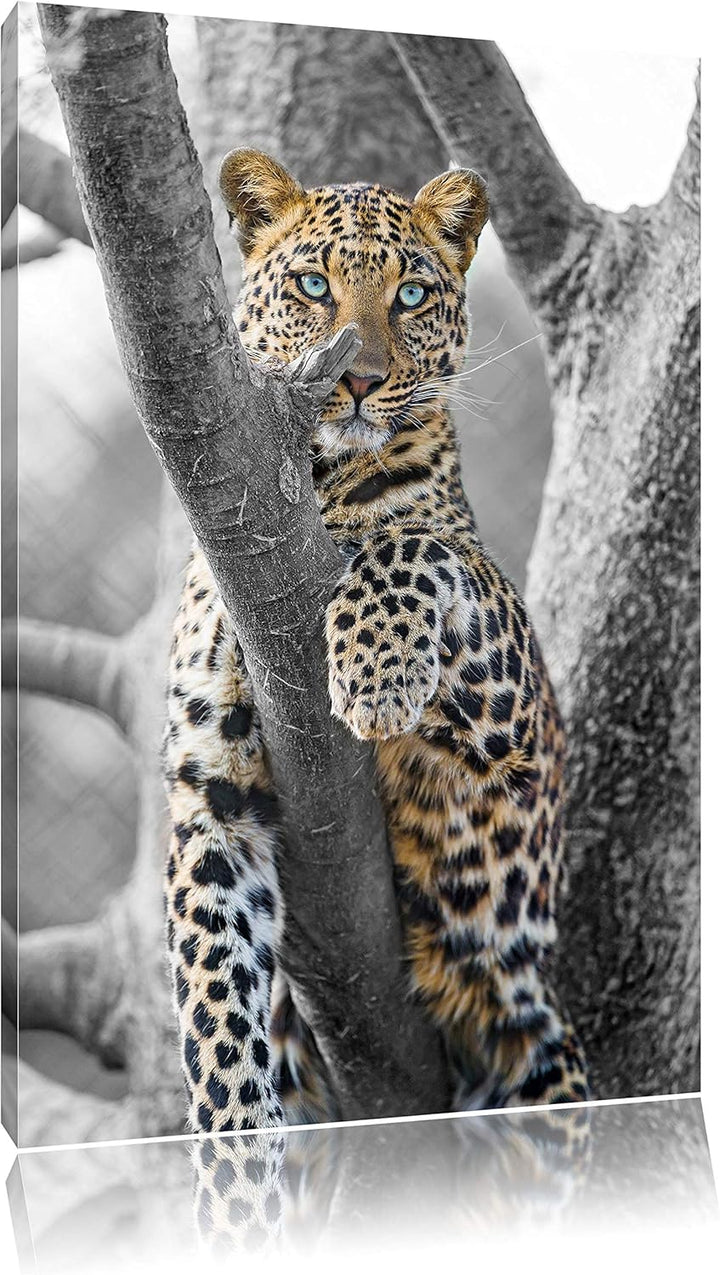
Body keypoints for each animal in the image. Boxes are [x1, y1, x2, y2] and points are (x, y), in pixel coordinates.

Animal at [163, 148, 589, 1142]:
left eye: (412, 295)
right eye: (314, 286)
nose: (355, 379)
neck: (311, 490)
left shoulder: (512, 727)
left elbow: (415, 543)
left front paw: (376, 675)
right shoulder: (210, 795)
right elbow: (215, 1009)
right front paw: (234, 1167)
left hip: (542, 1051)